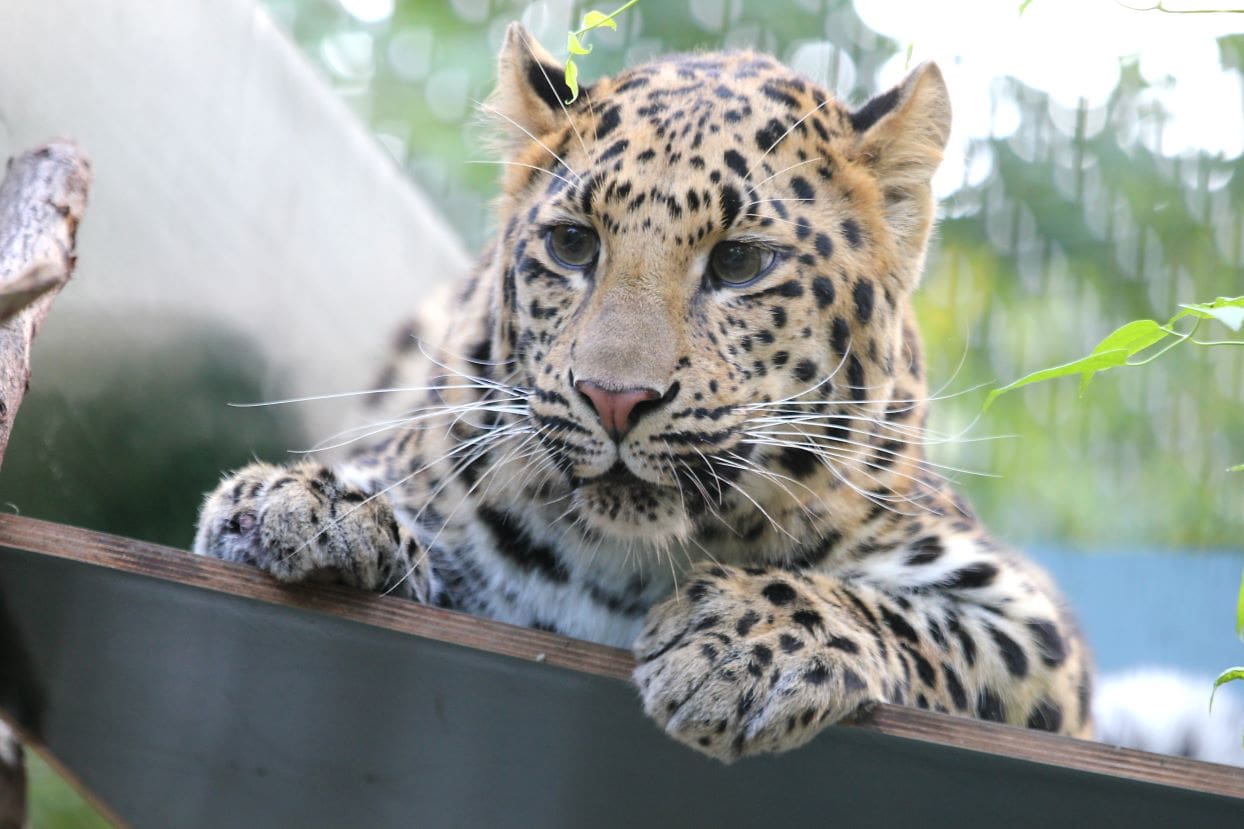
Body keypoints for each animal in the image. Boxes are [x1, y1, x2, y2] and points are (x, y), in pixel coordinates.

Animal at [191, 24, 1089, 761]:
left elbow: (900, 613)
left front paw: (740, 643)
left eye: (739, 262)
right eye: (572, 244)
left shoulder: (1031, 624)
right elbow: (386, 492)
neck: (628, 566)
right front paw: (308, 504)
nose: (614, 398)